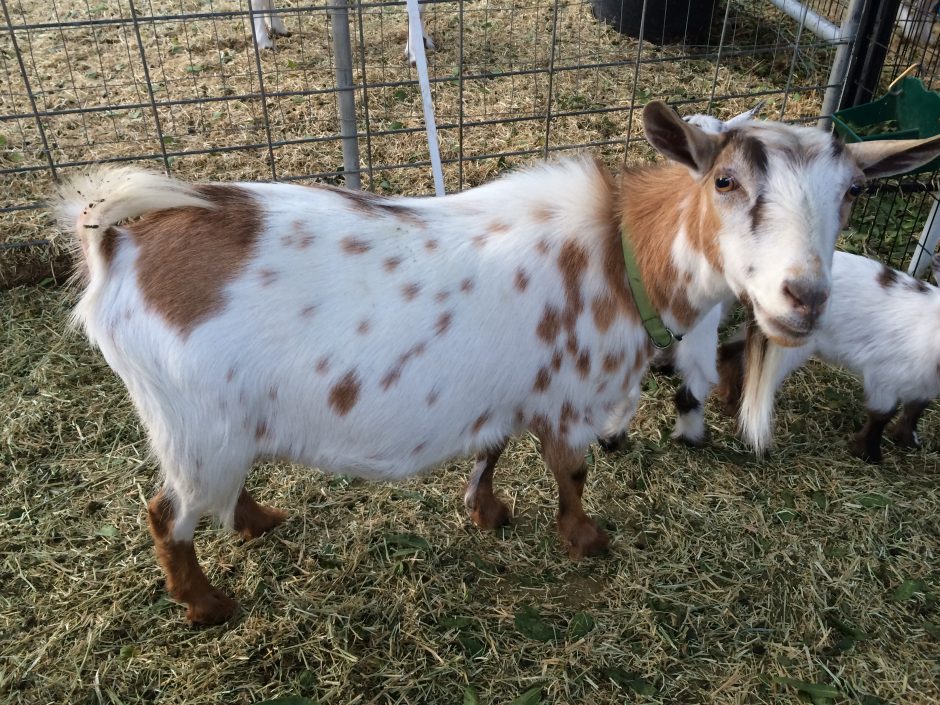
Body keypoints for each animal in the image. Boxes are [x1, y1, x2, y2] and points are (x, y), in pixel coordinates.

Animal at [56, 101, 940, 624]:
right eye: (724, 179)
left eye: (853, 192)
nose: (805, 297)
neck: (622, 257)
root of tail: (117, 243)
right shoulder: (570, 398)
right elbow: (572, 472)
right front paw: (586, 538)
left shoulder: (517, 390)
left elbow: (492, 447)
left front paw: (486, 511)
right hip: (194, 424)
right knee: (166, 514)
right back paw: (207, 603)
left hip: (223, 427)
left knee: (216, 493)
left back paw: (258, 520)